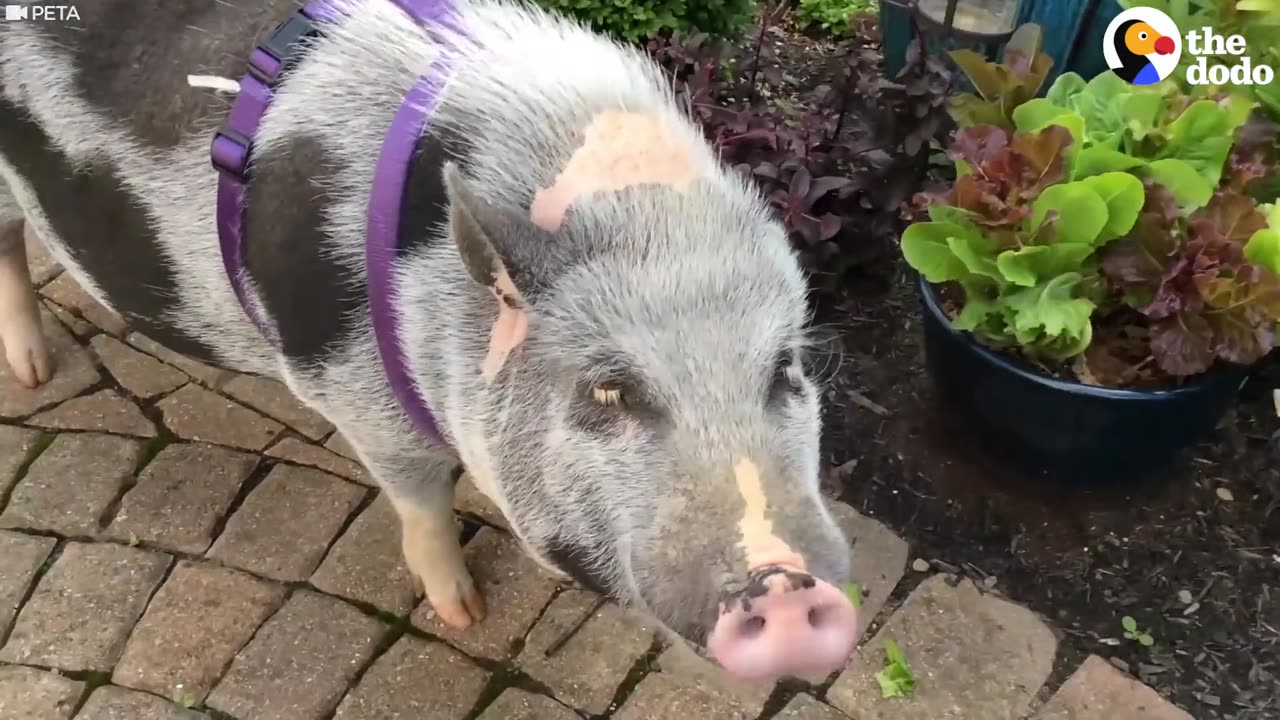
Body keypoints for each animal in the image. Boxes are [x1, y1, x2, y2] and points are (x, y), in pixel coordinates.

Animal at [0, 0, 860, 681]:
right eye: (609, 390)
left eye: (784, 371)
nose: (790, 588)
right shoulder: (353, 393)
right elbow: (422, 501)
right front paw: (466, 616)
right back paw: (34, 374)